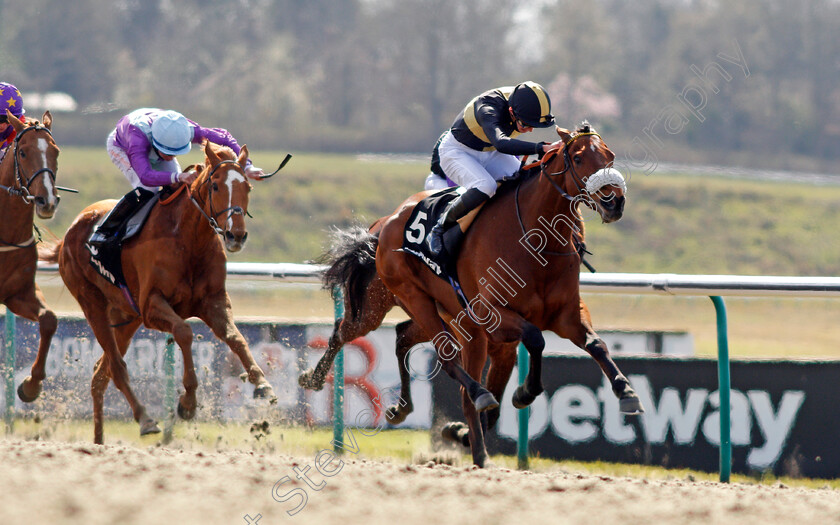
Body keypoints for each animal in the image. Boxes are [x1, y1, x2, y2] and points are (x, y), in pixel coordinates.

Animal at [41, 142, 276, 442]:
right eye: (215, 186)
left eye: (248, 186)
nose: (237, 236)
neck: (188, 240)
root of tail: (69, 234)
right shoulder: (152, 307)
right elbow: (184, 332)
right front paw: (188, 403)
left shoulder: (214, 301)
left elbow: (235, 338)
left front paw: (262, 383)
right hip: (92, 303)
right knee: (116, 368)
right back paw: (145, 419)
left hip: (126, 317)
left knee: (99, 375)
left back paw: (99, 440)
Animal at [304, 124, 644, 466]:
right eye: (578, 157)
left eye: (610, 155)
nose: (614, 202)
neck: (536, 241)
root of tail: (386, 223)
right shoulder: (491, 315)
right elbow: (535, 339)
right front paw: (523, 393)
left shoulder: (565, 316)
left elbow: (596, 344)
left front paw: (627, 393)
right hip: (397, 302)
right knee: (358, 335)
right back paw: (313, 379)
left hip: (445, 316)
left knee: (402, 337)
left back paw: (407, 410)